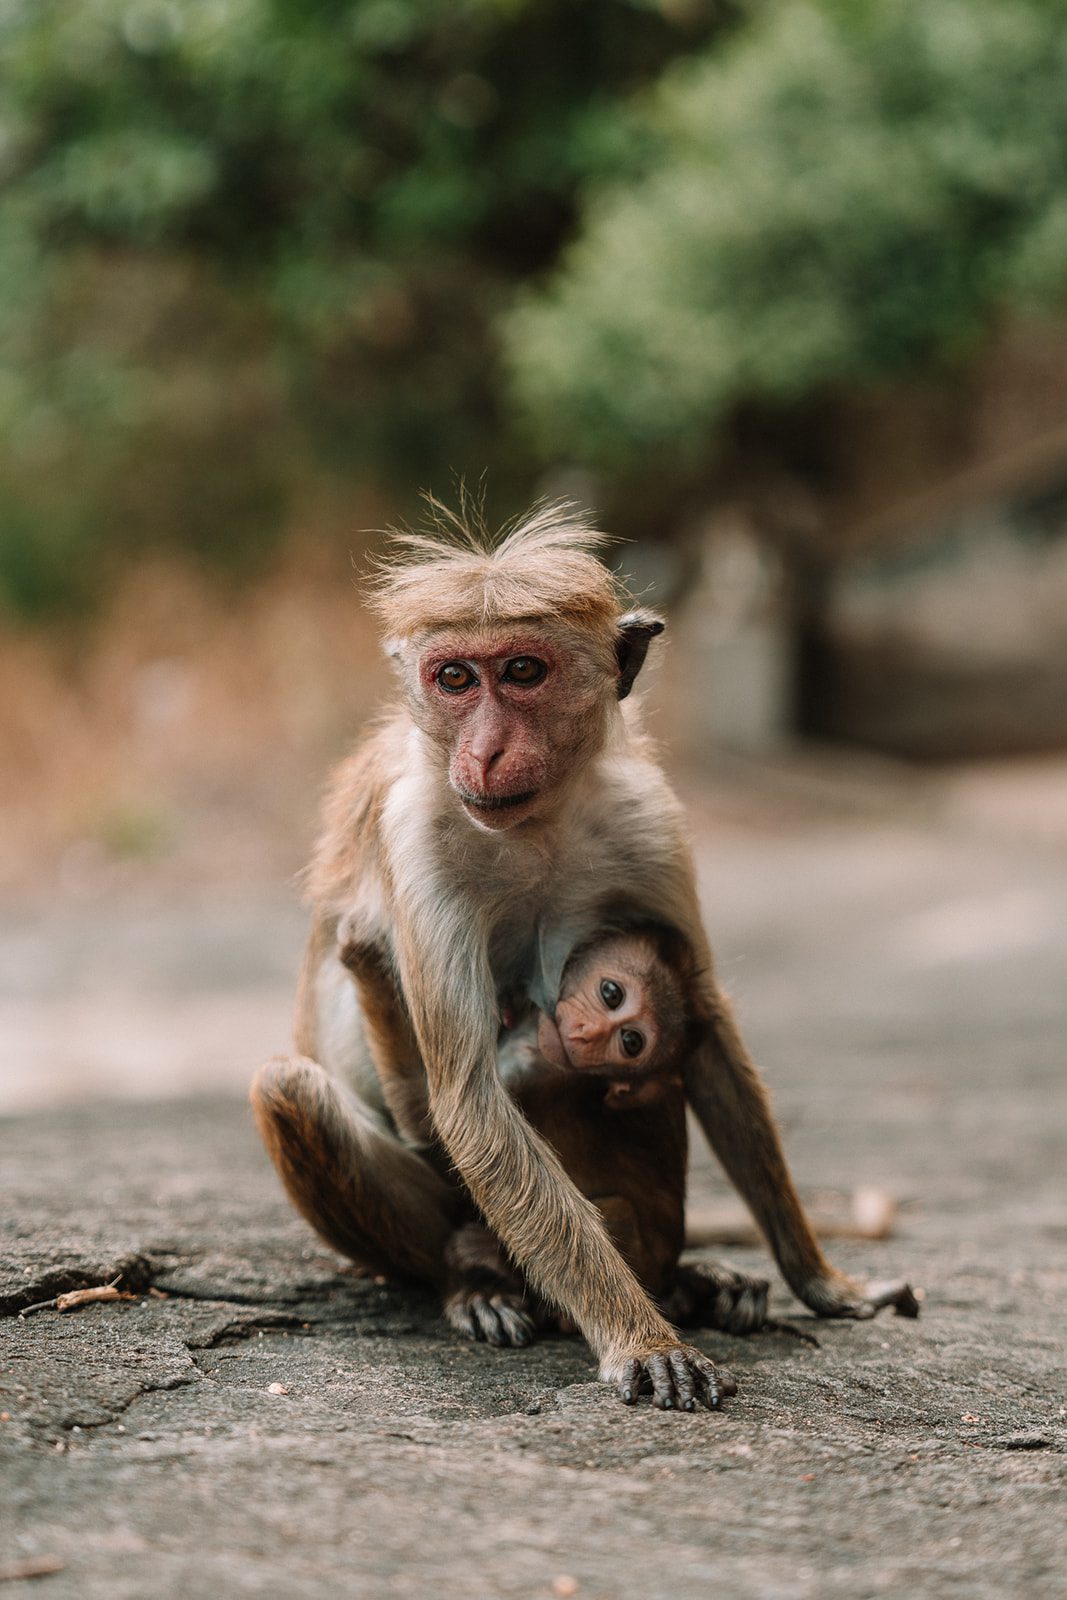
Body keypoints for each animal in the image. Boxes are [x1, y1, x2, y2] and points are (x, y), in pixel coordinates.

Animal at [252, 502, 921, 1414]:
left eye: (522, 670)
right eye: (454, 678)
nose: (485, 752)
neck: (536, 823)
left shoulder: (647, 820)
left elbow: (704, 1027)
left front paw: (820, 1280)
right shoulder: (417, 837)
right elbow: (465, 1098)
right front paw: (642, 1340)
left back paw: (687, 1282)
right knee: (295, 1091)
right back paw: (477, 1285)